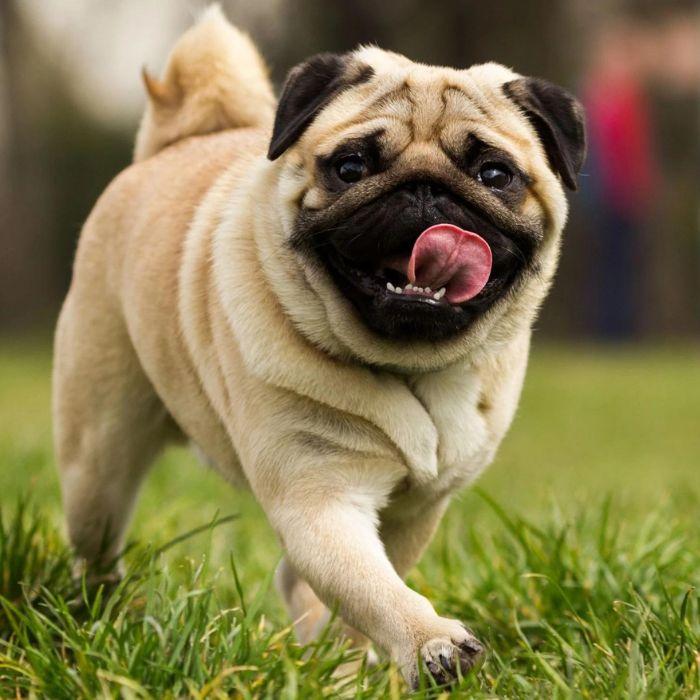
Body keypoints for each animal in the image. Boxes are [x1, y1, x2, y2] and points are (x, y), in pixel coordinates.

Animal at [52, 5, 584, 688]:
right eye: (351, 168)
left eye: (495, 175)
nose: (425, 190)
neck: (409, 365)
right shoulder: (320, 499)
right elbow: (372, 587)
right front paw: (430, 642)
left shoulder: (412, 511)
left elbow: (362, 591)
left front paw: (355, 661)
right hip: (97, 457)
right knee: (97, 539)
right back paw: (95, 617)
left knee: (297, 583)